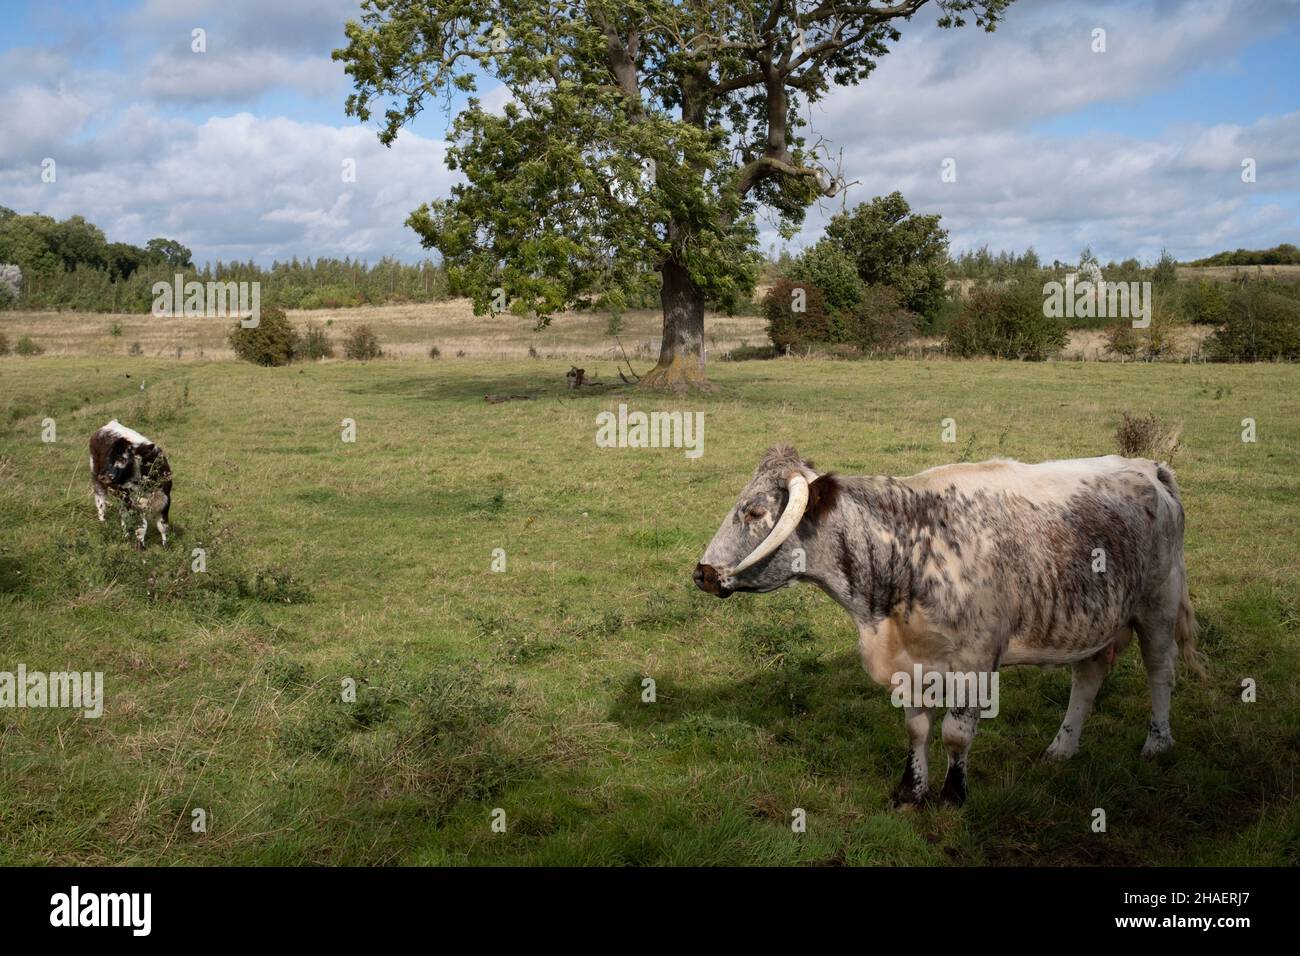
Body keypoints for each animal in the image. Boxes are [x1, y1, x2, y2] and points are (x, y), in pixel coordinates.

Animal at [90, 418, 172, 546]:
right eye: (108, 457)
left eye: (122, 459)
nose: (102, 476)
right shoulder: (134, 504)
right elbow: (142, 528)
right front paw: (140, 546)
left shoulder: (166, 500)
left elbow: (163, 526)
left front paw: (165, 545)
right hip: (97, 481)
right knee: (101, 502)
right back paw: (103, 522)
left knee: (123, 514)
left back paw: (125, 535)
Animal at [696, 447, 1201, 806]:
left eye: (755, 512)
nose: (701, 573)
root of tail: (1147, 466)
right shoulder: (911, 661)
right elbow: (917, 729)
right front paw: (910, 791)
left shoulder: (976, 662)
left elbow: (956, 732)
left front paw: (954, 794)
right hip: (1095, 618)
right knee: (1089, 678)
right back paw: (1062, 747)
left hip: (1157, 605)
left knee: (1161, 672)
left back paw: (1157, 743)